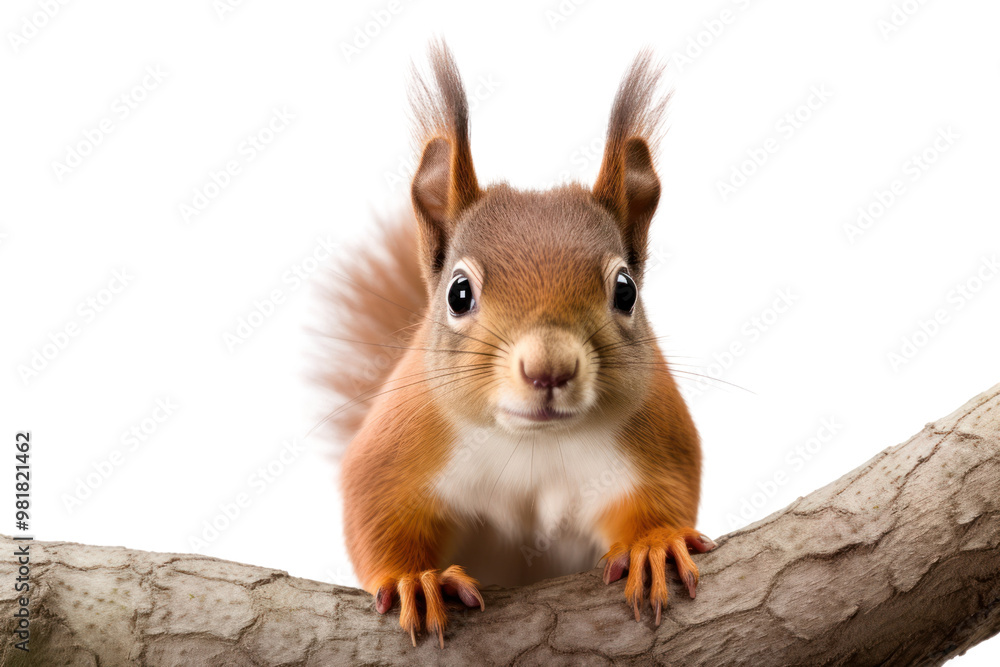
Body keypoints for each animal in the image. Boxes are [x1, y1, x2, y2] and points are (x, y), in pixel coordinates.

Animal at [318, 40, 715, 648]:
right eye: (458, 293)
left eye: (625, 289)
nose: (548, 369)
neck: (532, 445)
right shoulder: (401, 442)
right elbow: (378, 509)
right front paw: (416, 579)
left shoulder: (653, 436)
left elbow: (664, 492)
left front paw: (653, 545)